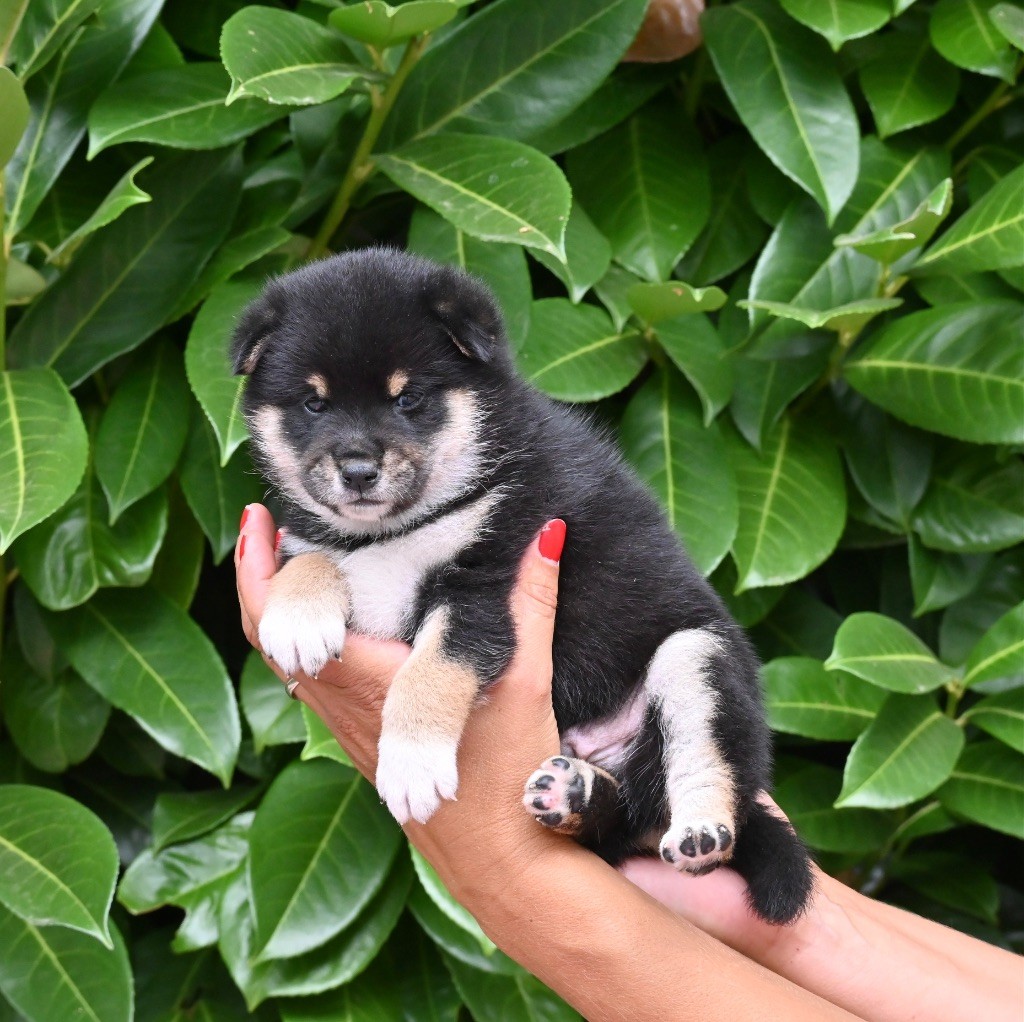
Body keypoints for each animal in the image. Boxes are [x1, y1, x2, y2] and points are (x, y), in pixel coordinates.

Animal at [231, 247, 813, 924]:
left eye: (409, 400)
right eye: (313, 404)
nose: (357, 471)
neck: (408, 523)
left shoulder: (485, 584)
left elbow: (429, 673)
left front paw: (410, 761)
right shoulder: (334, 547)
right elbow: (314, 557)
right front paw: (298, 619)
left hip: (696, 652)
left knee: (700, 773)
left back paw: (701, 831)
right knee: (622, 823)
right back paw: (575, 794)